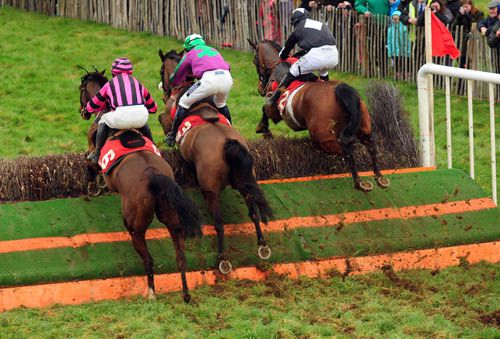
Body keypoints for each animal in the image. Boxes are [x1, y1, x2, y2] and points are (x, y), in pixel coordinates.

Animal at [78, 68, 201, 302]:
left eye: (81, 89)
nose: (83, 112)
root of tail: (154, 176)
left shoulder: (91, 149)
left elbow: (89, 162)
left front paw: (93, 185)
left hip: (135, 224)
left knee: (148, 257)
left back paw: (151, 292)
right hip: (172, 220)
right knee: (180, 255)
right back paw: (186, 293)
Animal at [157, 49, 272, 274]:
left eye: (161, 70)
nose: (164, 89)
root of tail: (228, 143)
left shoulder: (167, 118)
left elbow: (162, 120)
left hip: (210, 190)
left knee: (219, 223)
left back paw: (222, 259)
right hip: (246, 182)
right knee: (253, 212)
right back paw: (262, 245)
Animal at [247, 38, 390, 193]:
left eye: (254, 60)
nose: (259, 88)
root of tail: (343, 90)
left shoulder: (274, 110)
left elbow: (264, 109)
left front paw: (264, 130)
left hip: (324, 138)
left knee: (347, 150)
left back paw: (359, 182)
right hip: (363, 127)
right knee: (370, 145)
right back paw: (379, 177)